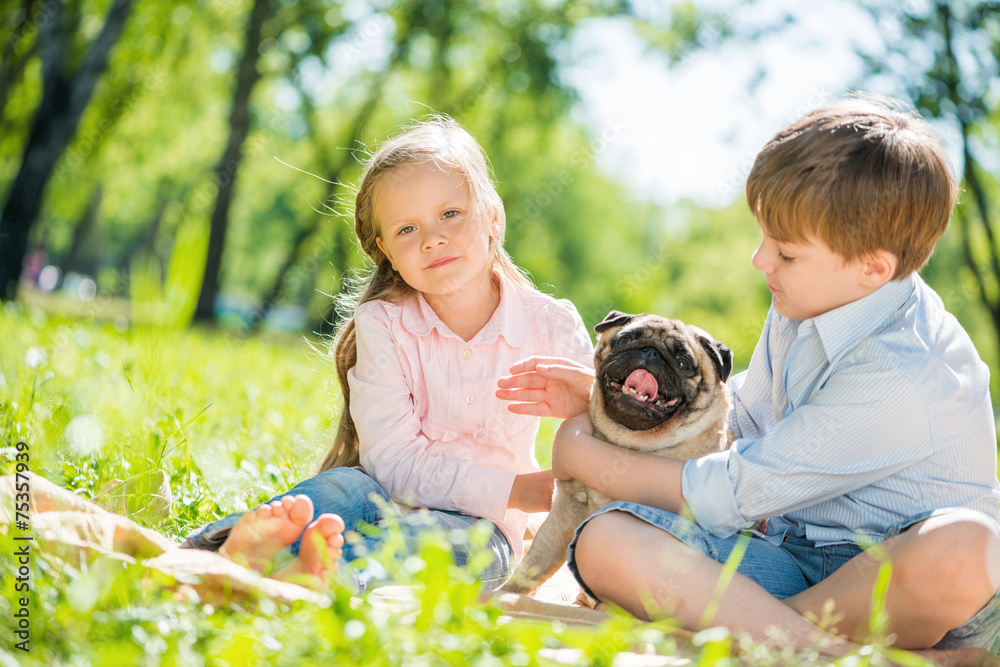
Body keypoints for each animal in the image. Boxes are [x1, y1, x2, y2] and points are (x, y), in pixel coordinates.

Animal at [500, 310, 736, 596]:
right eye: (626, 340)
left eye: (682, 361)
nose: (651, 351)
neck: (626, 446)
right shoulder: (562, 515)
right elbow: (534, 564)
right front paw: (506, 594)